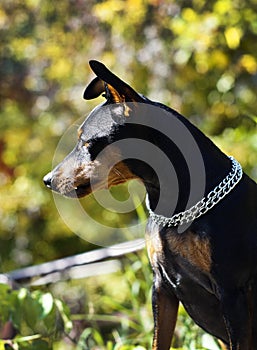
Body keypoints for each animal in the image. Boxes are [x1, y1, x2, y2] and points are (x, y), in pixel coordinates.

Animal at [43, 61, 256, 348]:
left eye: (86, 142)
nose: (47, 180)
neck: (175, 209)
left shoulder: (232, 292)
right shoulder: (161, 287)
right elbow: (158, 341)